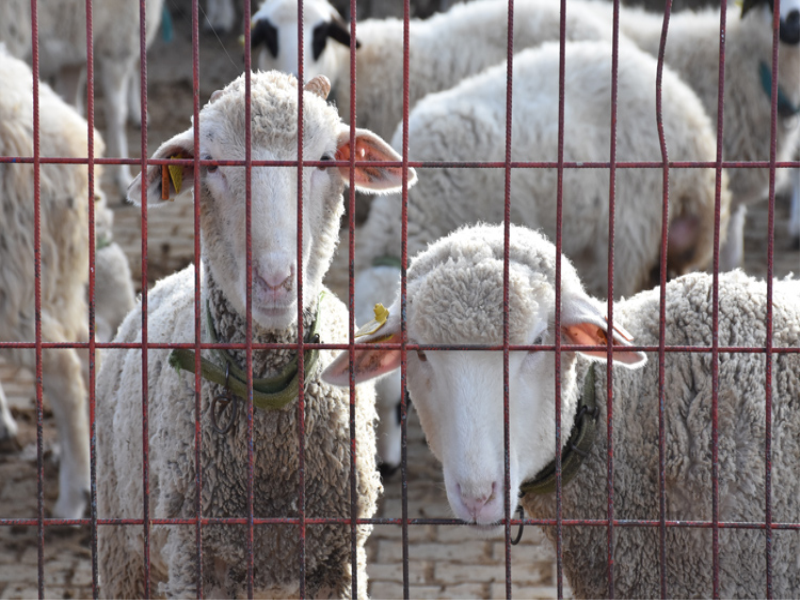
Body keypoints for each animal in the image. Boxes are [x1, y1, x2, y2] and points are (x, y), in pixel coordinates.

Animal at [97, 71, 416, 600]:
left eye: (325, 160)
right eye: (211, 162)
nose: (274, 279)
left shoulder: (339, 562)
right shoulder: (195, 559)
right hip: (122, 547)